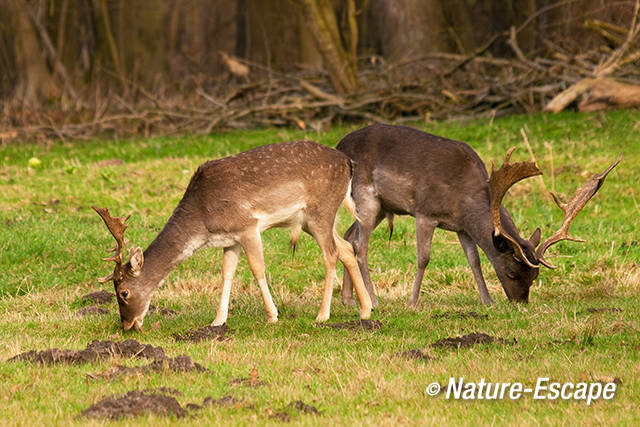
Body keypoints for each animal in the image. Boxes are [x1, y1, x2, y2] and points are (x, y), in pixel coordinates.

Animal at [96, 140, 376, 332]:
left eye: (123, 292)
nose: (127, 325)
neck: (202, 219)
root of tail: (348, 163)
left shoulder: (248, 226)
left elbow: (258, 269)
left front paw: (272, 316)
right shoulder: (230, 240)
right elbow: (226, 274)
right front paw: (218, 320)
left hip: (321, 211)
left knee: (331, 254)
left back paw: (322, 315)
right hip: (309, 220)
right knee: (345, 248)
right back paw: (365, 311)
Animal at [338, 123, 624, 308]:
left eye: (535, 277)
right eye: (511, 272)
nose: (520, 303)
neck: (464, 199)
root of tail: (339, 145)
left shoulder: (461, 227)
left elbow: (474, 260)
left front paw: (488, 301)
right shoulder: (425, 212)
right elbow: (423, 258)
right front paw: (412, 303)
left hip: (380, 206)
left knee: (348, 236)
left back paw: (349, 299)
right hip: (367, 197)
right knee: (361, 245)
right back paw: (373, 300)